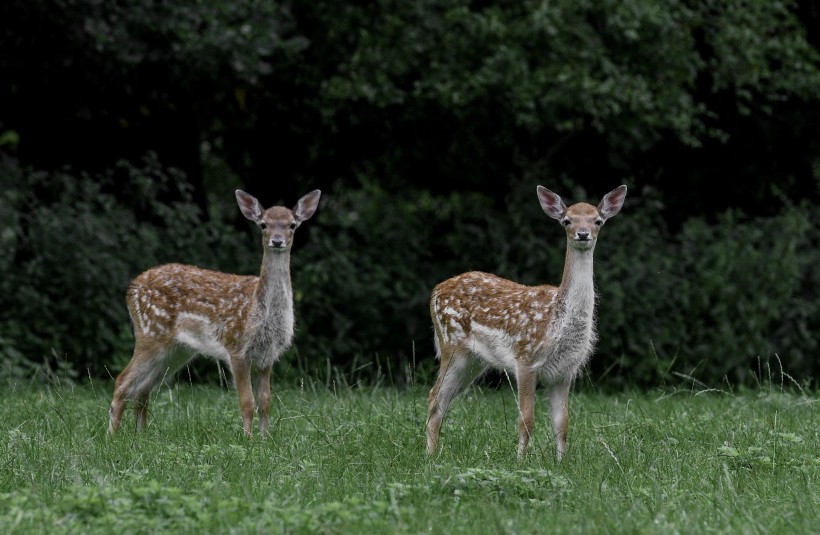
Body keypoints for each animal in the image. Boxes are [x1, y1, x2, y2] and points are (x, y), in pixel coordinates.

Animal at [110, 191, 322, 438]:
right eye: (263, 224)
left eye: (292, 225)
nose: (277, 240)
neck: (260, 312)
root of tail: (131, 288)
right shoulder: (236, 348)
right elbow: (247, 402)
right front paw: (249, 440)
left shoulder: (267, 356)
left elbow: (265, 402)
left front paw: (265, 438)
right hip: (150, 333)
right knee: (123, 382)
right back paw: (113, 436)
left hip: (177, 350)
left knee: (143, 389)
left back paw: (141, 435)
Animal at [426, 185, 624, 460]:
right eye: (567, 220)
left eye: (598, 221)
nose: (582, 234)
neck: (556, 321)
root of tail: (436, 290)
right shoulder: (526, 359)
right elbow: (527, 420)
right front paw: (520, 460)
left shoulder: (565, 371)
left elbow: (562, 423)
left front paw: (561, 462)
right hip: (451, 345)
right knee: (434, 396)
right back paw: (429, 456)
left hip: (474, 361)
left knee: (442, 399)